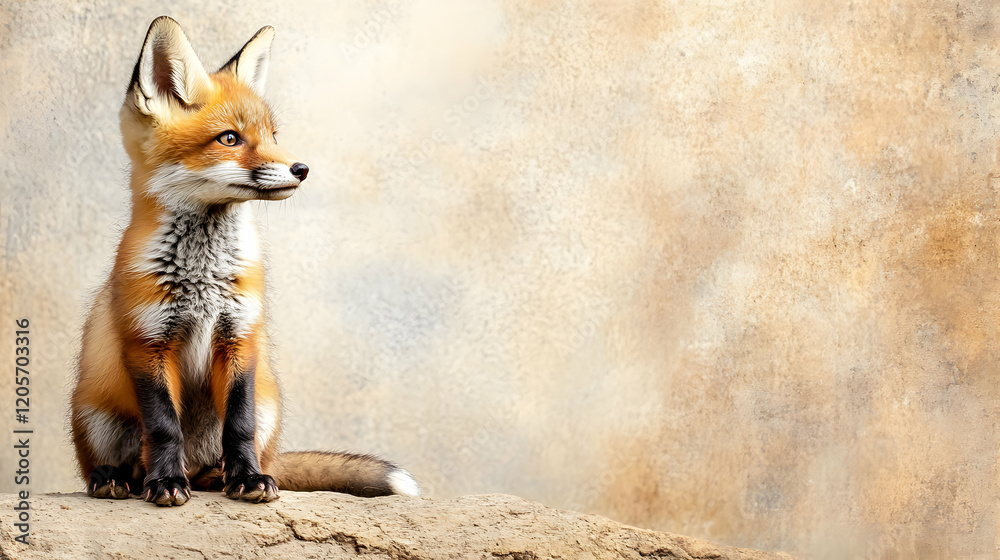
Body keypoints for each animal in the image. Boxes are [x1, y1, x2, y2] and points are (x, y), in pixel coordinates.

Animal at [70, 16, 419, 506]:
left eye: (273, 136)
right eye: (230, 139)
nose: (301, 169)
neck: (202, 276)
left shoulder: (240, 337)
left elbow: (240, 423)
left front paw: (249, 479)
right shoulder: (148, 341)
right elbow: (163, 426)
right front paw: (165, 483)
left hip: (270, 403)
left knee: (231, 456)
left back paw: (220, 476)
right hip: (94, 413)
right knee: (122, 462)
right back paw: (120, 477)